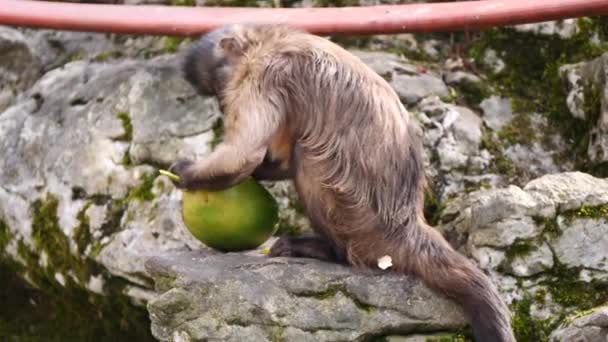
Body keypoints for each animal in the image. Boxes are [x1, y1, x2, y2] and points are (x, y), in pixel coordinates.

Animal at [170, 24, 512, 342]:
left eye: (218, 87)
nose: (222, 105)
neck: (269, 40)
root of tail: (407, 225)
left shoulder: (265, 72)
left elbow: (244, 155)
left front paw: (185, 174)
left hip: (358, 219)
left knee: (307, 155)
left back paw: (328, 252)